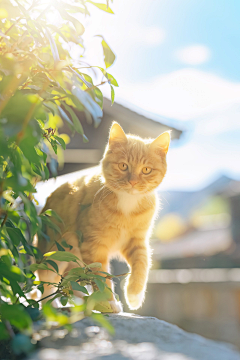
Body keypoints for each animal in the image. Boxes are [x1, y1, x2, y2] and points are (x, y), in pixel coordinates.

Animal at [36, 121, 171, 312]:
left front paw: (134, 295)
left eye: (146, 170)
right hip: (54, 253)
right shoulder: (93, 246)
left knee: (71, 283)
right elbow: (100, 276)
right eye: (123, 166)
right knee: (47, 281)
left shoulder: (137, 241)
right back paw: (51, 305)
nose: (133, 182)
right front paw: (108, 302)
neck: (127, 203)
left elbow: (142, 265)